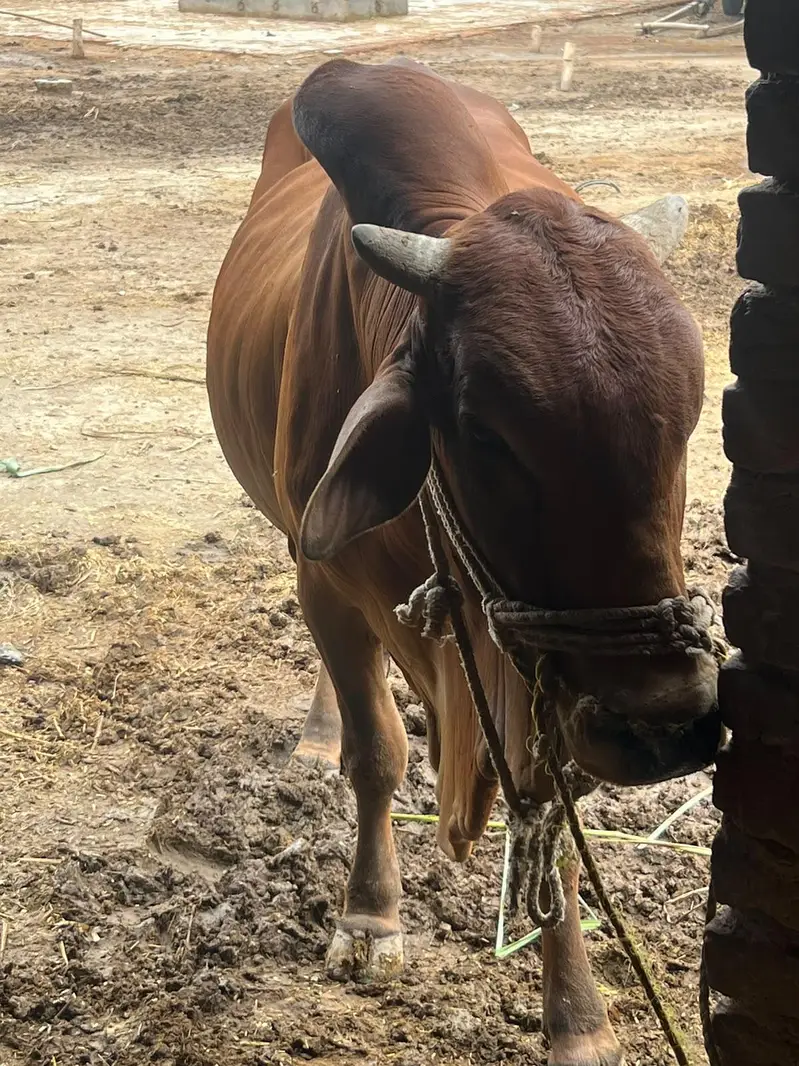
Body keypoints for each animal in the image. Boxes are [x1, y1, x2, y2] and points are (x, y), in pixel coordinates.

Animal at [206, 58, 720, 1066]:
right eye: (487, 434)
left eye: (686, 417)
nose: (665, 727)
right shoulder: (324, 579)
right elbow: (377, 751)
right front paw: (369, 917)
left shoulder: (543, 677)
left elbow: (547, 813)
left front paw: (578, 1017)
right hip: (299, 546)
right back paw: (320, 733)